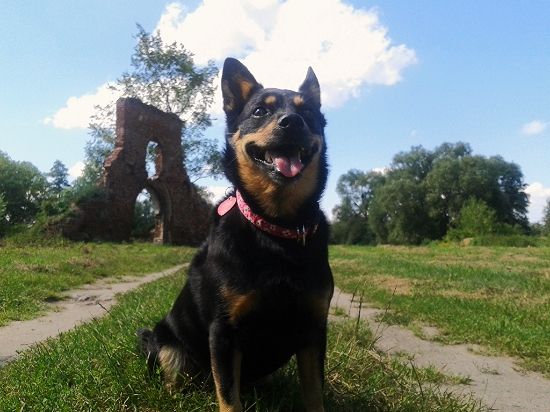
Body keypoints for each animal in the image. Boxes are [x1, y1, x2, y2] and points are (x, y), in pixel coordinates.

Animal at [138, 57, 333, 412]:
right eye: (259, 111)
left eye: (309, 112)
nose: (293, 122)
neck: (275, 226)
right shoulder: (224, 331)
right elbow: (229, 395)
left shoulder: (314, 327)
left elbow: (314, 393)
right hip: (166, 344)